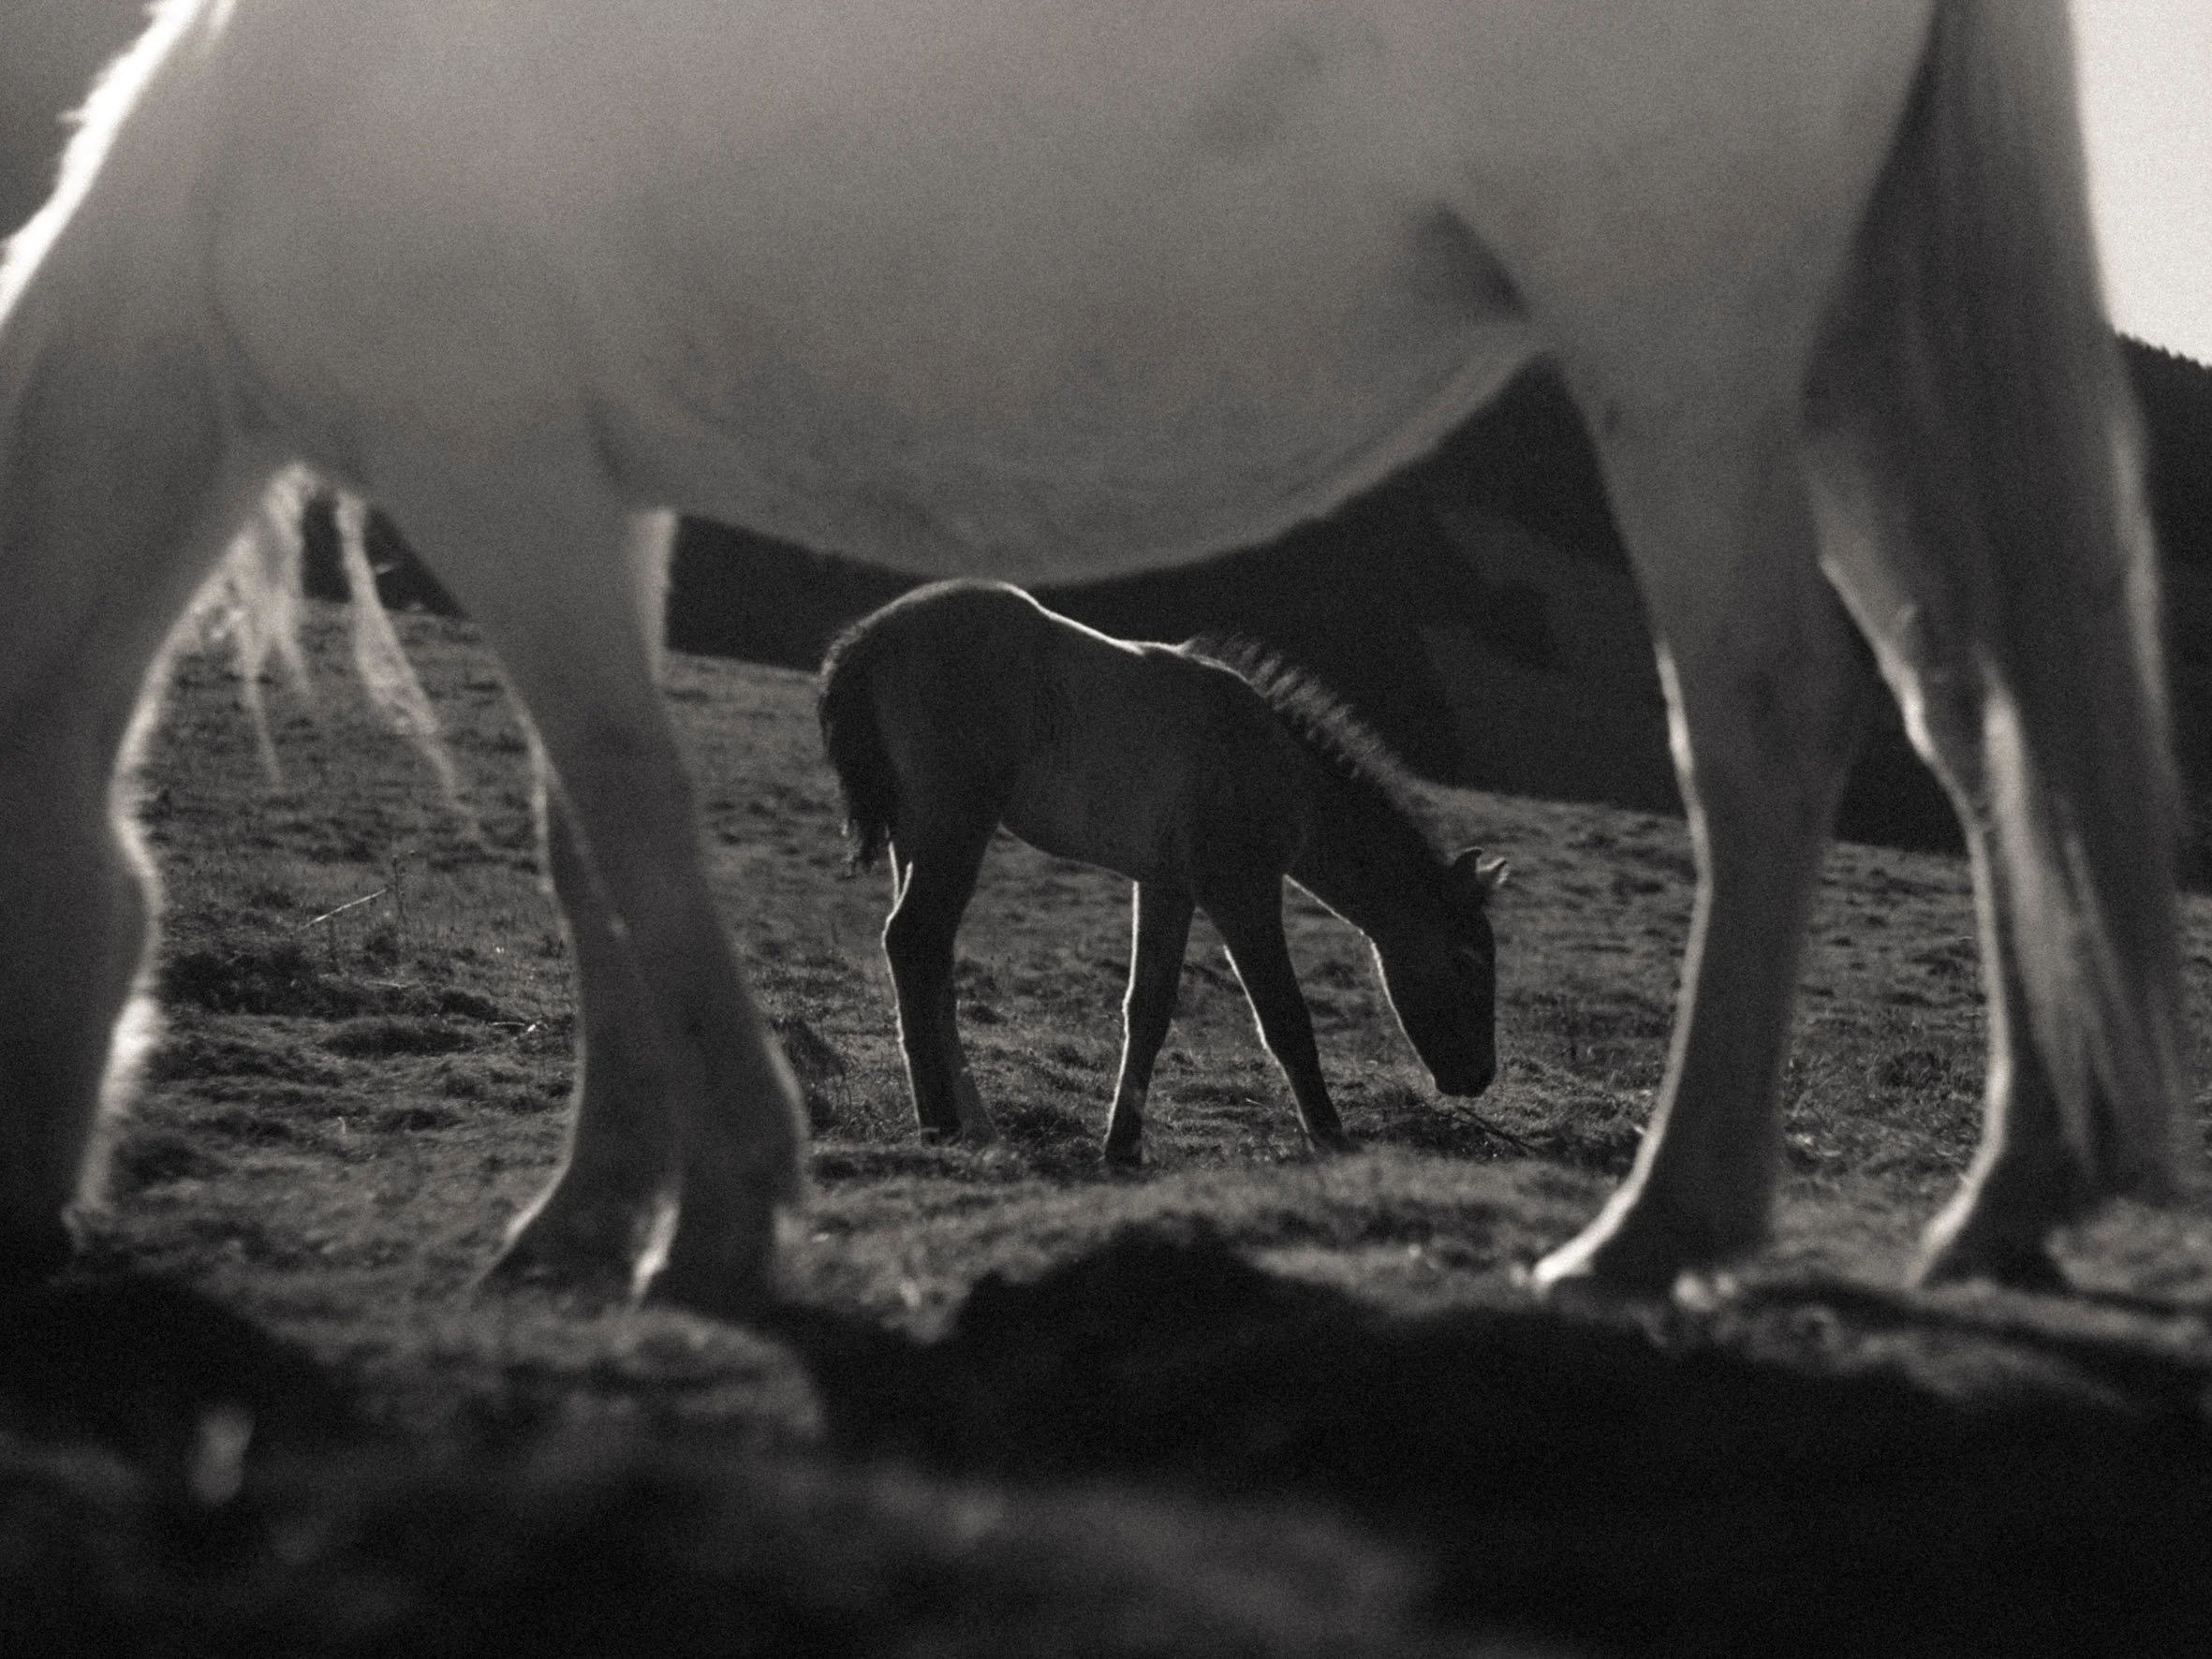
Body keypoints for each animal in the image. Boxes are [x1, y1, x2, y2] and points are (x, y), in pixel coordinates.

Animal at [817, 579, 1507, 1162]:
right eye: (1467, 960)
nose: (1478, 1076)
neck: (1285, 770)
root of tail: (867, 638)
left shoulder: (1166, 886)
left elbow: (1148, 1010)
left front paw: (1122, 1145)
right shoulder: (1239, 887)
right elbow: (1284, 1016)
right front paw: (1332, 1138)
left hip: (918, 832)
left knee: (931, 964)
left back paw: (975, 1123)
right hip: (955, 824)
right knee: (914, 940)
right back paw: (939, 1124)